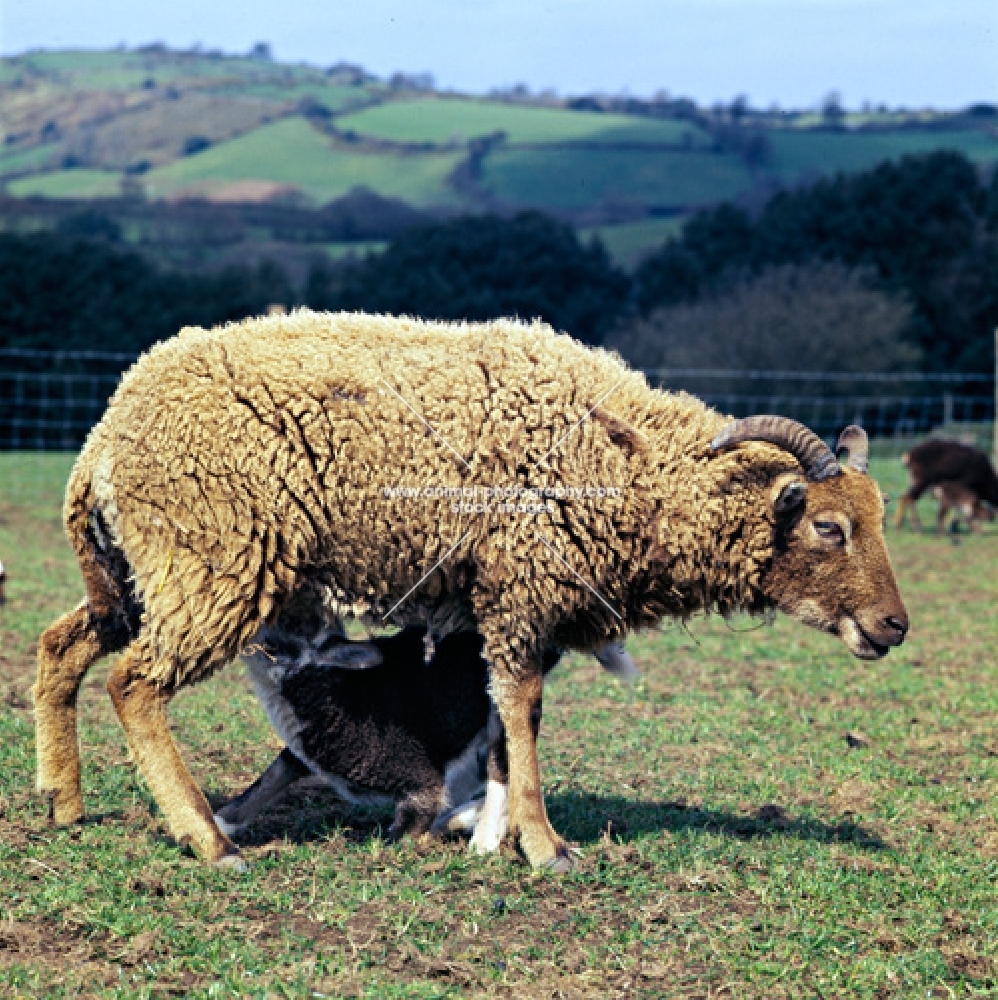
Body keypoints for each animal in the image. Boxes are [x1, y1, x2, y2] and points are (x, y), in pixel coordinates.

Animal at [33, 308, 908, 872]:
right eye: (828, 527)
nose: (895, 627)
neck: (634, 466)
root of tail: (101, 440)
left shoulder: (508, 607)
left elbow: (499, 723)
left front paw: (499, 833)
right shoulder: (522, 588)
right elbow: (521, 714)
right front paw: (546, 846)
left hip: (140, 574)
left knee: (61, 647)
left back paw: (64, 804)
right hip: (213, 557)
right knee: (134, 682)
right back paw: (207, 840)